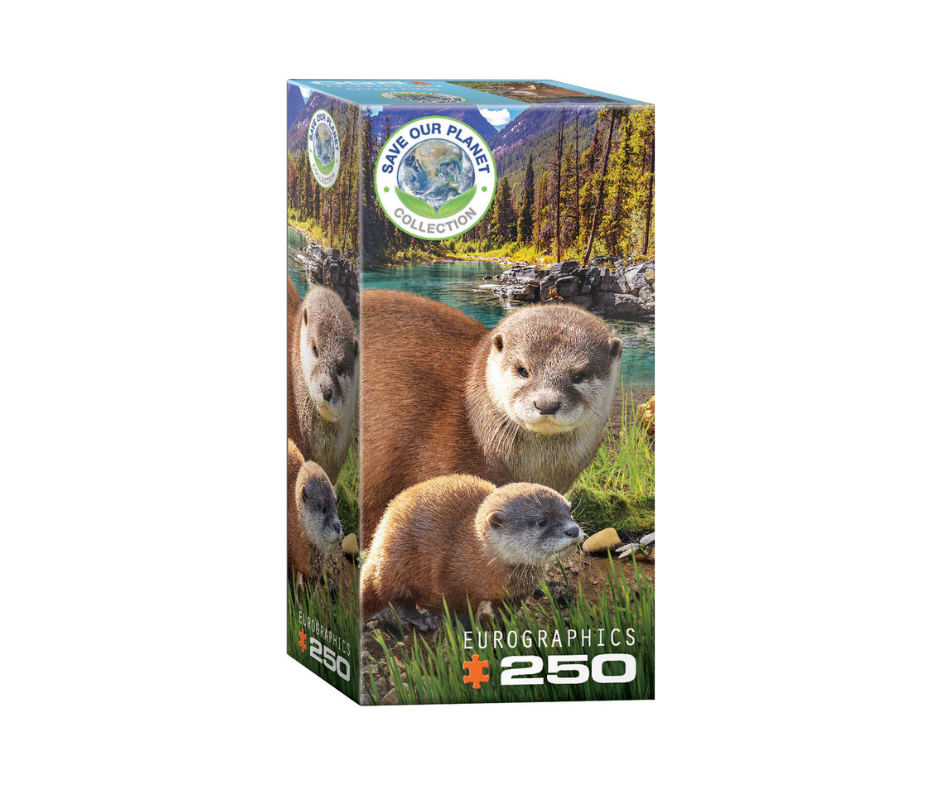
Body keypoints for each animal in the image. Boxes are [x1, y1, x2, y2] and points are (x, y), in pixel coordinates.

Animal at [361, 475, 583, 630]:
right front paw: (470, 630)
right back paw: (421, 619)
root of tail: (378, 542)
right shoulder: (452, 580)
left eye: (569, 511)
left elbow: (508, 611)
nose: (573, 530)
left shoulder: (517, 592)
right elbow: (460, 611)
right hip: (396, 560)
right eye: (542, 521)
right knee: (393, 595)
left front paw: (512, 624)